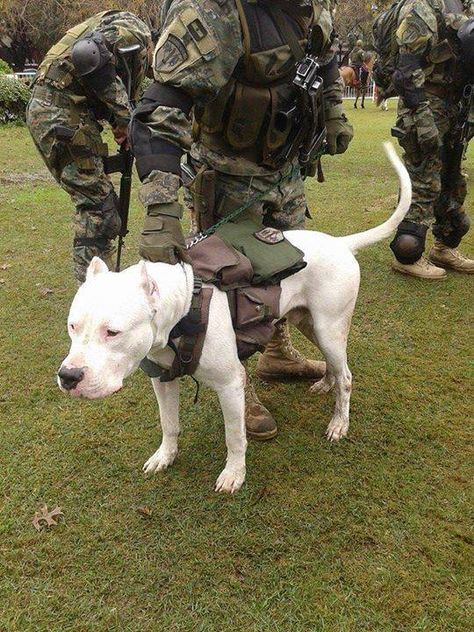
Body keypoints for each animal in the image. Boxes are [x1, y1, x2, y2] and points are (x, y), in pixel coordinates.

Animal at [58, 143, 412, 494]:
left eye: (112, 332)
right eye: (73, 327)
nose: (68, 376)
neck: (183, 308)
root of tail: (340, 243)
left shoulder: (230, 384)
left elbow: (235, 437)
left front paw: (234, 474)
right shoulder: (162, 380)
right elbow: (169, 423)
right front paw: (165, 455)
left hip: (329, 328)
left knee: (347, 375)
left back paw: (339, 422)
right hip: (310, 323)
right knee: (335, 366)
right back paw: (326, 382)